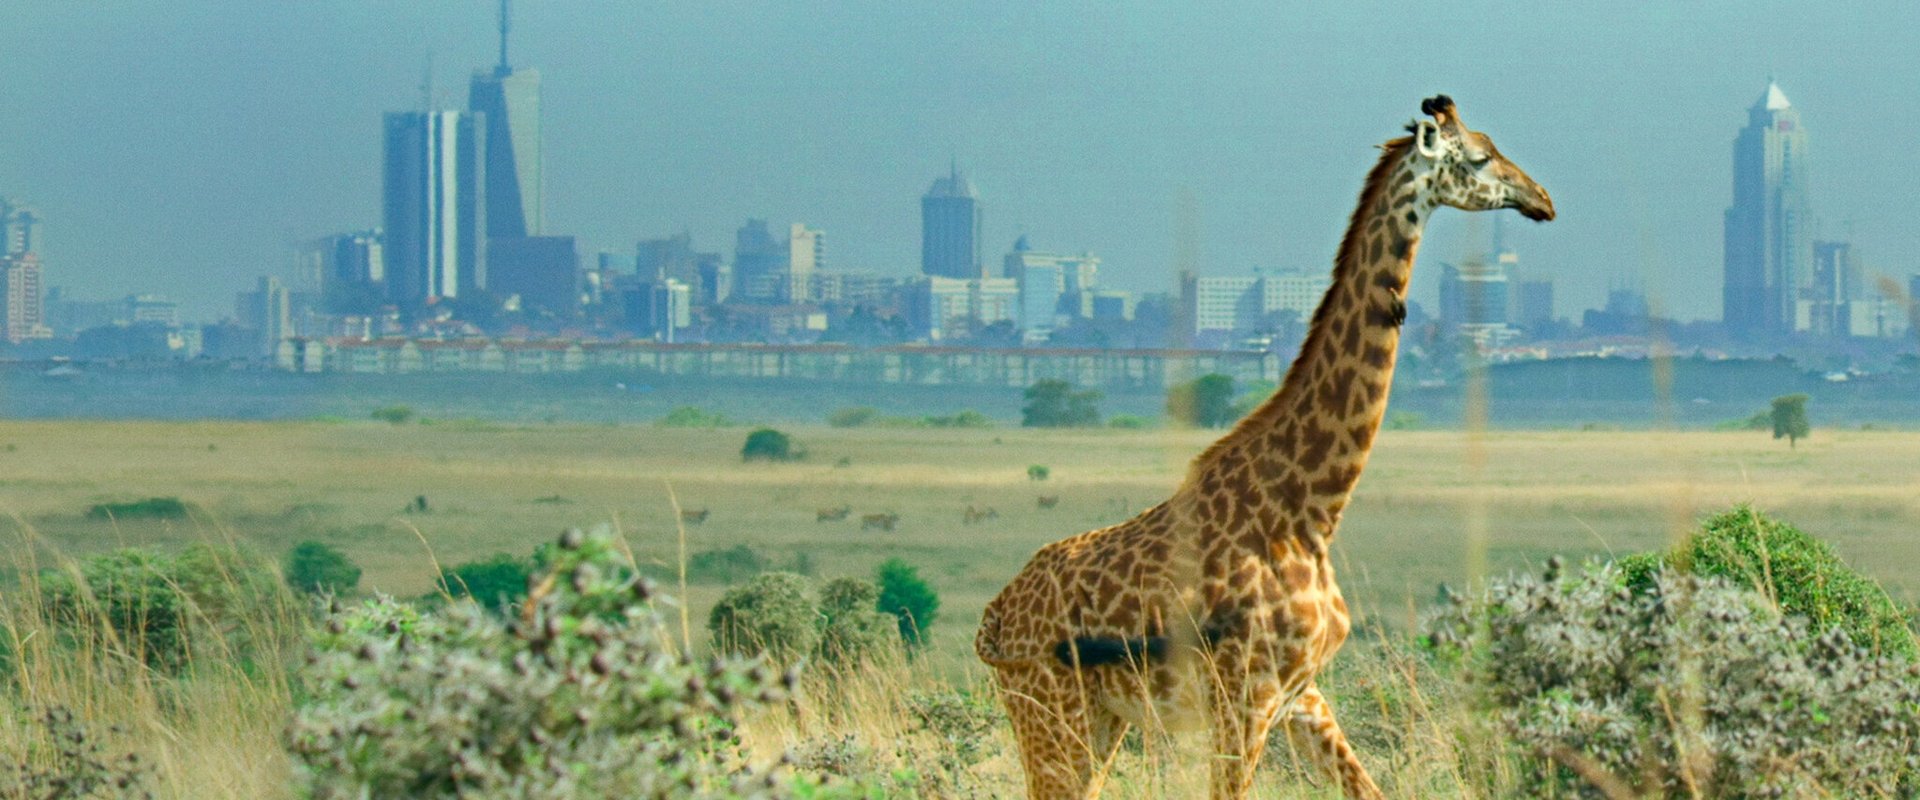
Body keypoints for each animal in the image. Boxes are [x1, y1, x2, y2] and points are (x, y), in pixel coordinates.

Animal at [983, 98, 1551, 798]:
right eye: (1478, 157)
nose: (1543, 200)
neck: (1310, 510)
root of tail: (994, 617)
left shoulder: (1301, 694)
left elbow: (1369, 787)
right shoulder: (1244, 697)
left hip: (1097, 719)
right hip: (1049, 712)